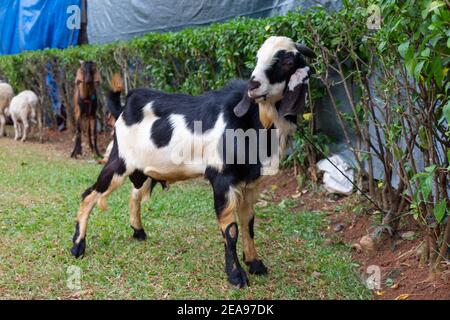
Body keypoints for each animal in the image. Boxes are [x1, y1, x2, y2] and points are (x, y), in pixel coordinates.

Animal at [71, 36, 316, 288]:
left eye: (287, 61)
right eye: (257, 58)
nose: (253, 85)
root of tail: (124, 105)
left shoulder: (250, 182)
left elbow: (248, 222)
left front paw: (255, 264)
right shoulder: (222, 179)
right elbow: (231, 230)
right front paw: (236, 275)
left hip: (142, 169)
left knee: (134, 194)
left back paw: (138, 232)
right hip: (120, 161)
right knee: (89, 194)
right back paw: (78, 246)